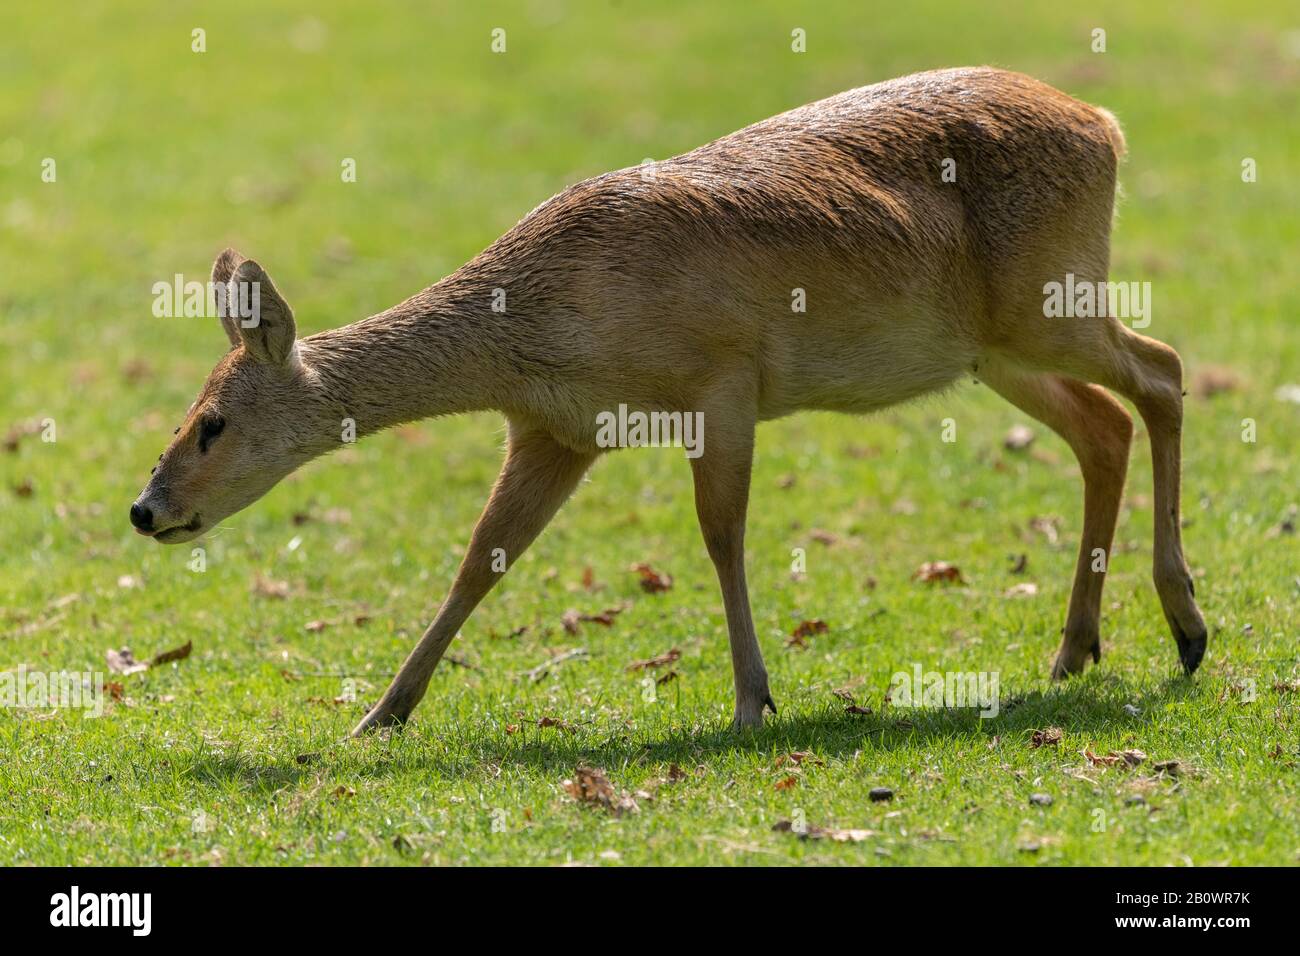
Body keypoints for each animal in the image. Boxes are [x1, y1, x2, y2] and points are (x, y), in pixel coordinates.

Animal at [131, 67, 1206, 738]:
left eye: (211, 423)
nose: (146, 509)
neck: (538, 327)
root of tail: (1106, 125)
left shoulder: (722, 378)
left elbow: (721, 535)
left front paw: (752, 701)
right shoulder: (555, 429)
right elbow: (482, 559)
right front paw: (380, 713)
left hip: (1049, 301)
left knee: (1163, 370)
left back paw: (1187, 627)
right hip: (993, 349)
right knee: (1105, 424)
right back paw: (1076, 651)